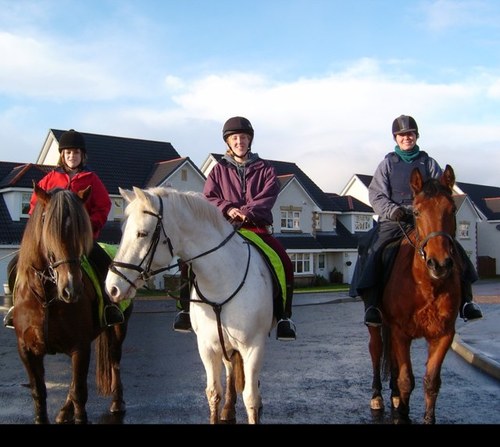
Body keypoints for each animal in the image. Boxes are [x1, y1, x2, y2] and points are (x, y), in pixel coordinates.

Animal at [11, 184, 133, 426]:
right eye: (47, 225)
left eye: (80, 228)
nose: (71, 288)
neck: (46, 298)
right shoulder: (27, 350)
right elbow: (39, 392)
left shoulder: (80, 346)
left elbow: (79, 392)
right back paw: (64, 411)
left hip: (118, 329)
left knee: (114, 362)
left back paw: (117, 402)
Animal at [105, 187, 274, 426]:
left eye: (142, 234)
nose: (112, 287)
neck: (222, 281)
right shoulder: (207, 347)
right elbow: (214, 393)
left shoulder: (254, 347)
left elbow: (250, 397)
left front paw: (255, 406)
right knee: (231, 369)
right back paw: (228, 409)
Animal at [366, 164, 462, 424]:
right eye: (416, 212)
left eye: (452, 210)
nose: (439, 264)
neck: (426, 286)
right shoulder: (401, 332)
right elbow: (406, 379)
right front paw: (401, 415)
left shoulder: (443, 335)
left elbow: (431, 382)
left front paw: (426, 417)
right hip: (378, 325)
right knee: (376, 352)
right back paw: (378, 396)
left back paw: (394, 397)